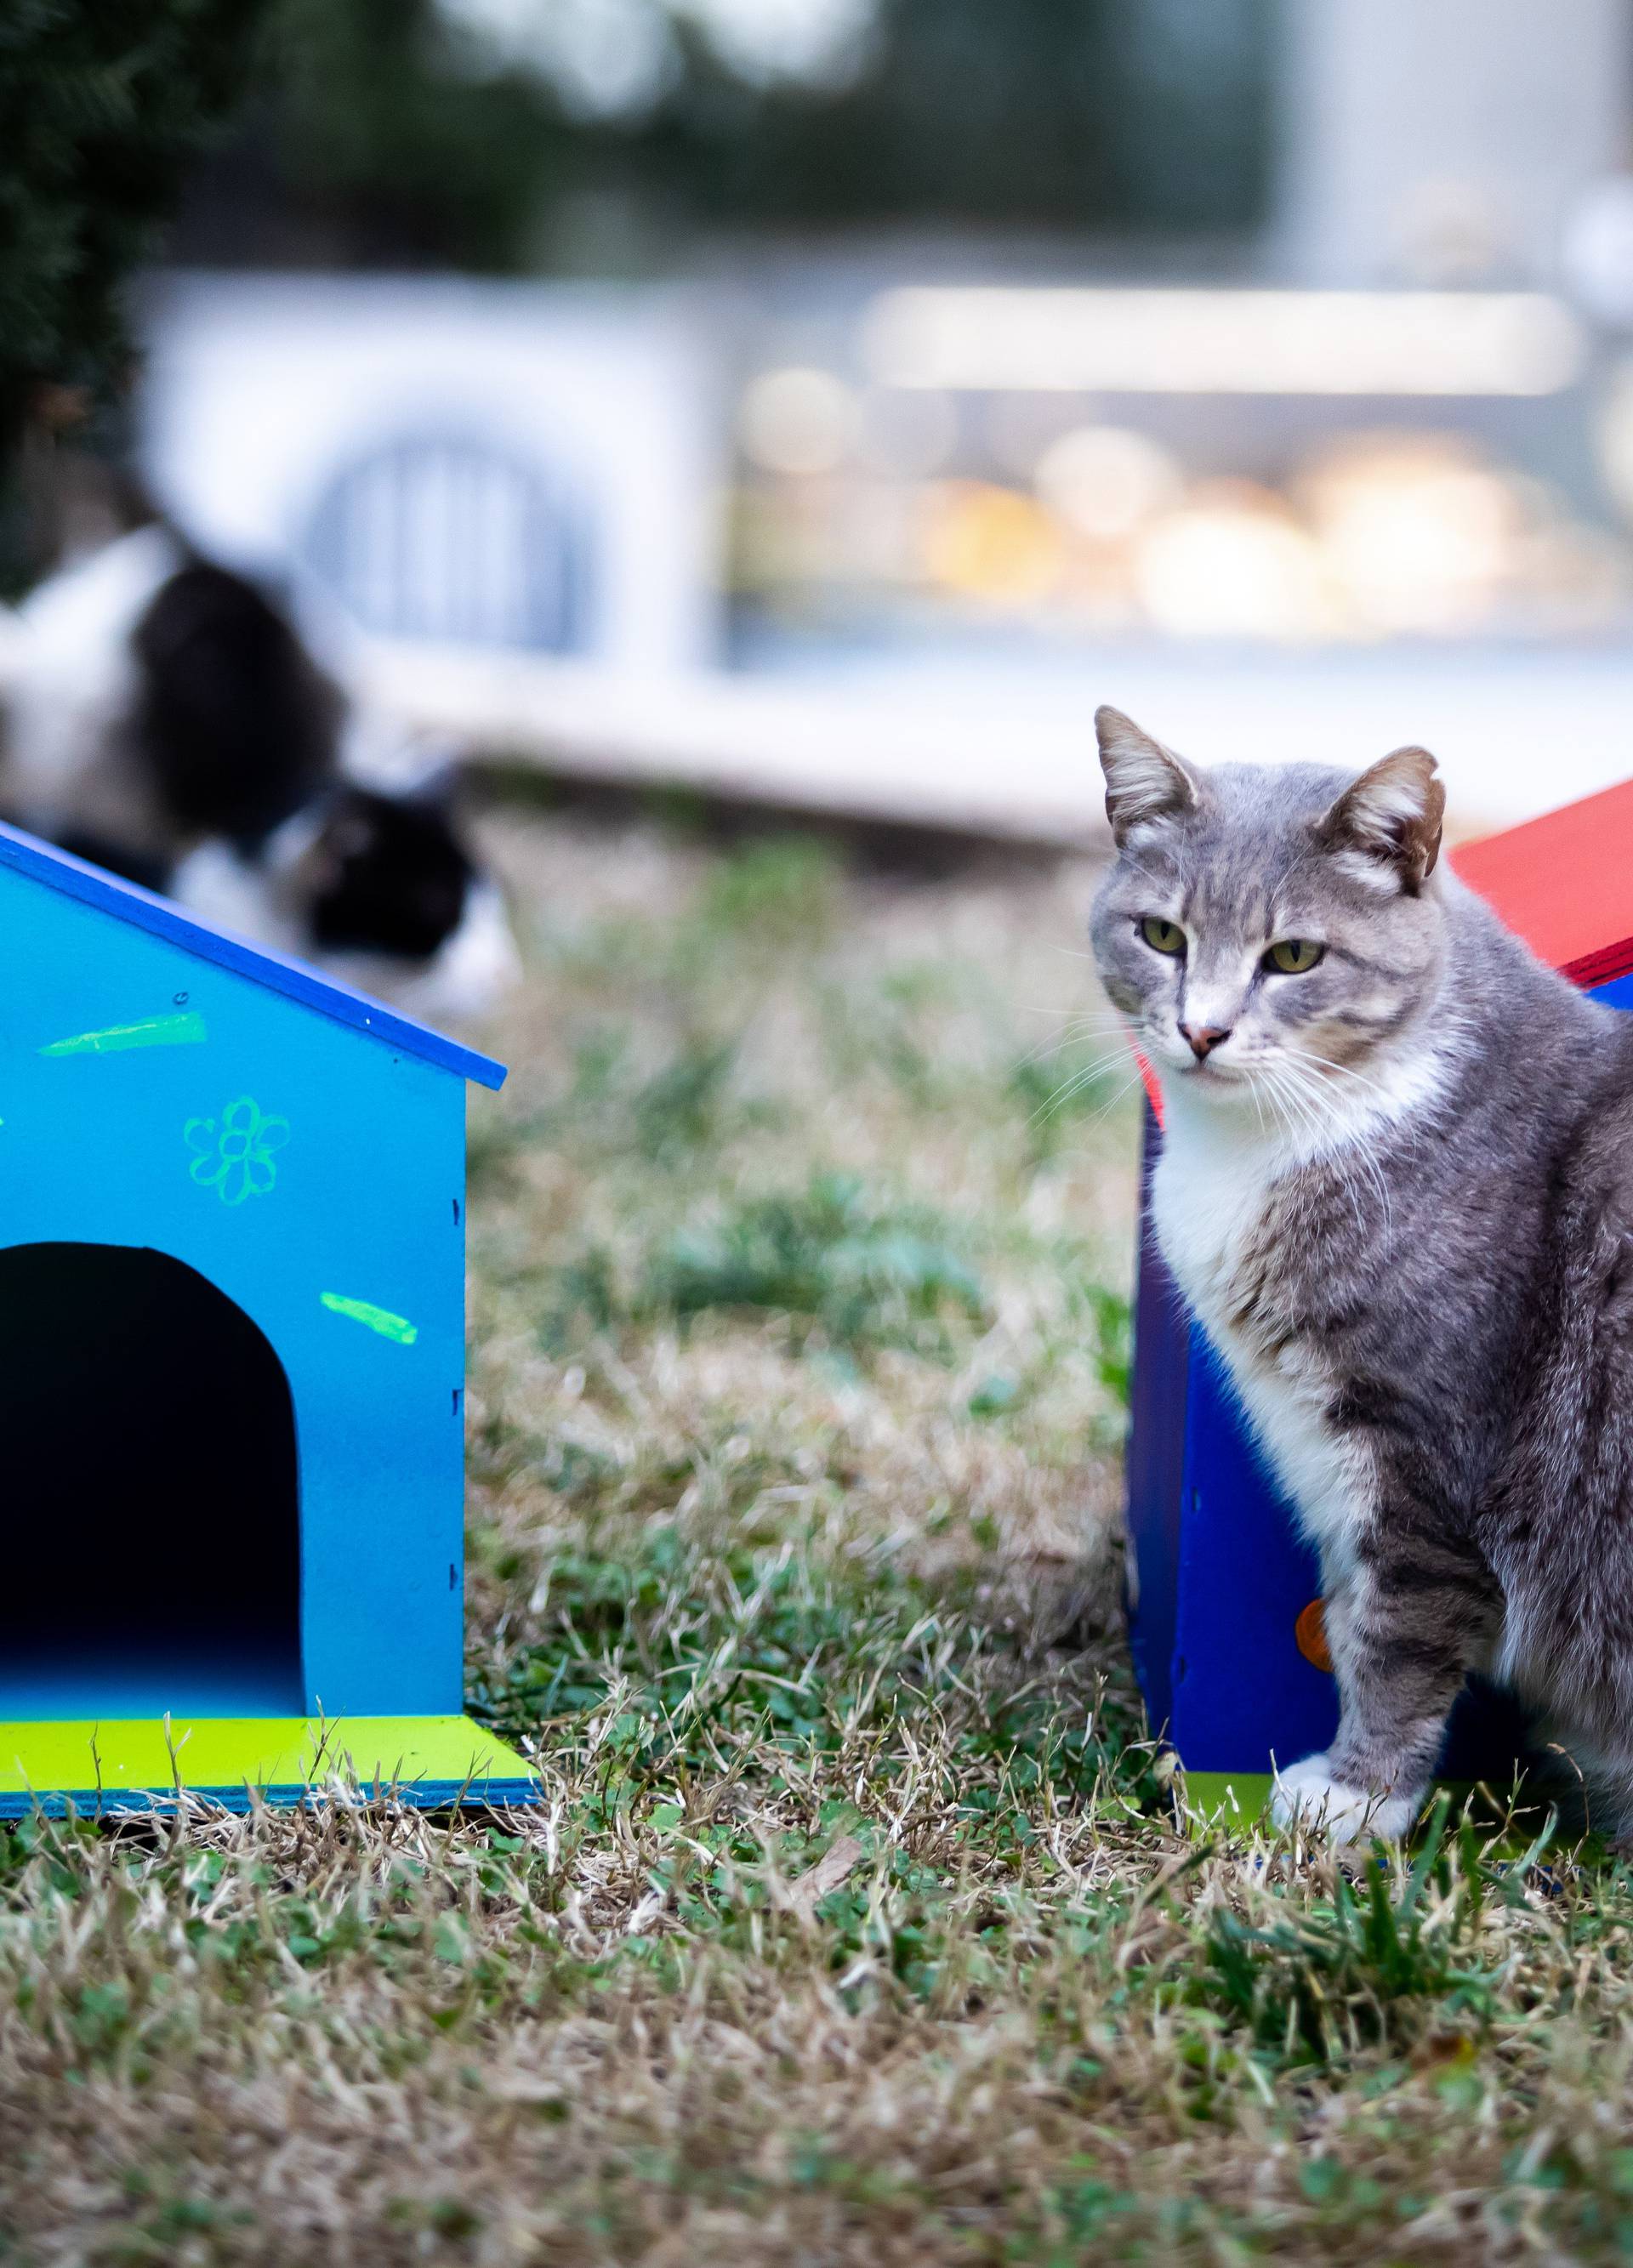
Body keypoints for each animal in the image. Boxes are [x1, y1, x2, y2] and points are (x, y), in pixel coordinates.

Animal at [1089, 702, 1633, 1841]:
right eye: (1163, 936)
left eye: (1295, 955)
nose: (1201, 1030)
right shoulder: (1329, 1456)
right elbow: (1341, 1616)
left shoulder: (1423, 1449)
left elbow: (1399, 1633)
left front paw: (1354, 1799)